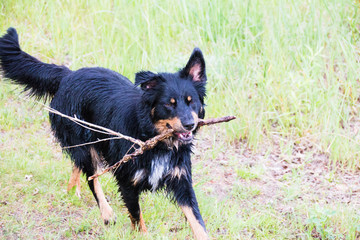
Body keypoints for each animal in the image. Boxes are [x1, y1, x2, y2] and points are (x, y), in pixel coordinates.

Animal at [0, 27, 208, 238]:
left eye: (191, 101)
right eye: (168, 104)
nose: (190, 124)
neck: (153, 138)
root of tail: (68, 75)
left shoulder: (181, 179)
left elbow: (197, 220)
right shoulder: (126, 179)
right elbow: (136, 216)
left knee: (79, 166)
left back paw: (72, 191)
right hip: (84, 143)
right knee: (91, 178)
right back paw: (106, 213)